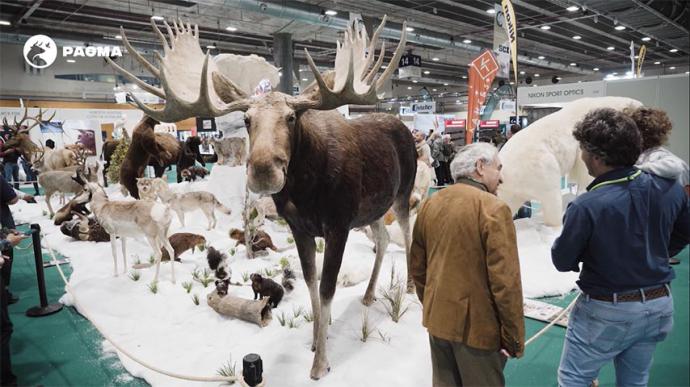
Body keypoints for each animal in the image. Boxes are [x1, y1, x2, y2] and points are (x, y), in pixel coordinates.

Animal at [105, 16, 412, 380]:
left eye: (291, 117)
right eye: (247, 119)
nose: (264, 170)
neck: (306, 191)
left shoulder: (337, 225)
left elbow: (326, 289)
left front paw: (320, 363)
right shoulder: (301, 228)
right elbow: (310, 282)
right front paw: (314, 338)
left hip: (402, 194)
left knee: (406, 233)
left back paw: (410, 289)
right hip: (373, 208)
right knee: (382, 239)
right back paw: (367, 295)